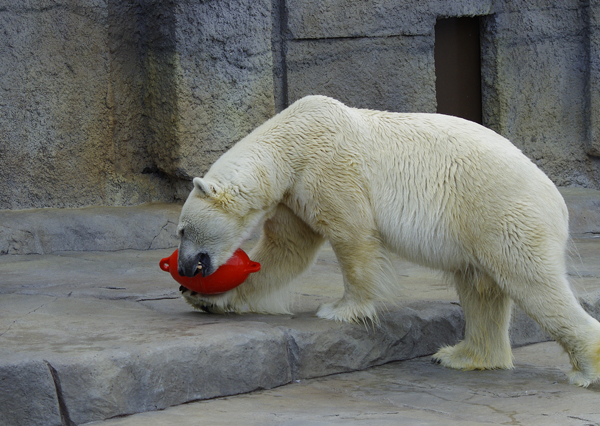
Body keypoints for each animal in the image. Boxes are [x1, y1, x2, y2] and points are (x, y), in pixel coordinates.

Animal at [177, 95, 600, 386]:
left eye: (182, 230)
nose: (183, 267)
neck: (292, 139)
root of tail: (556, 199)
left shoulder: (327, 168)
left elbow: (352, 234)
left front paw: (343, 309)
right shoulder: (293, 194)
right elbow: (285, 251)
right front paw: (207, 297)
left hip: (500, 212)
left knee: (531, 281)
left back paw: (585, 369)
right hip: (478, 228)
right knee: (480, 288)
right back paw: (462, 355)